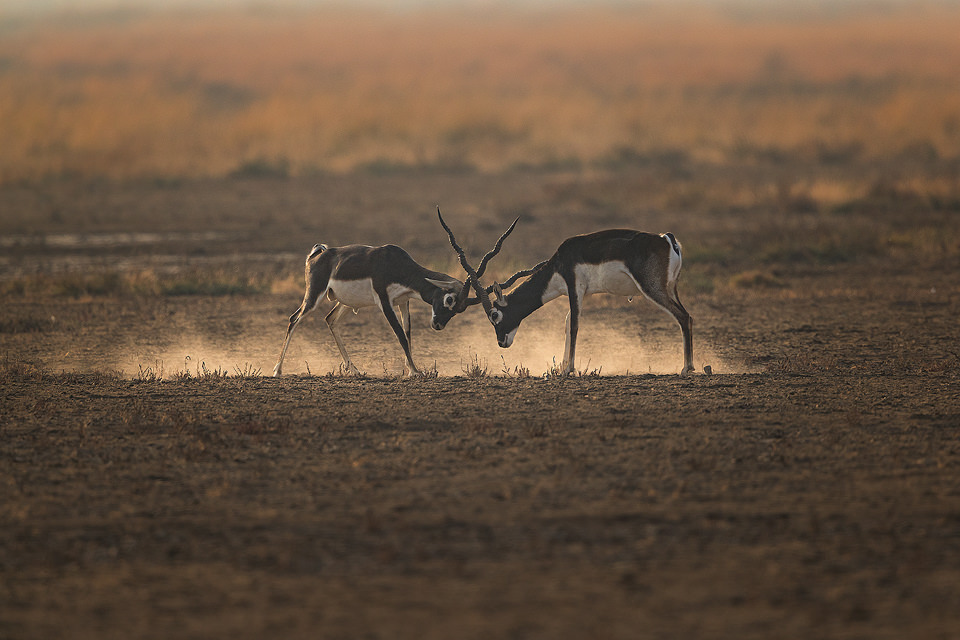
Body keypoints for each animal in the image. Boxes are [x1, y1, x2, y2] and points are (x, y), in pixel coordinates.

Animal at [272, 242, 474, 378]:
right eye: (449, 299)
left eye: (459, 310)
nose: (438, 325)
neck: (396, 264)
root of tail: (317, 254)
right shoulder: (385, 302)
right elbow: (400, 335)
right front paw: (416, 372)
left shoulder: (404, 302)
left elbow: (408, 334)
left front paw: (411, 369)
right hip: (314, 296)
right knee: (294, 319)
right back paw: (277, 370)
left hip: (345, 303)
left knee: (330, 319)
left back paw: (355, 370)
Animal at [438, 212, 692, 378]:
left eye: (494, 315)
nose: (502, 343)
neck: (559, 263)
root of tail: (666, 239)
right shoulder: (581, 293)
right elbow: (568, 322)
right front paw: (561, 367)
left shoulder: (573, 287)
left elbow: (575, 325)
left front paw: (569, 369)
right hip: (671, 288)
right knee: (686, 315)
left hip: (652, 288)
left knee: (684, 317)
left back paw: (687, 368)